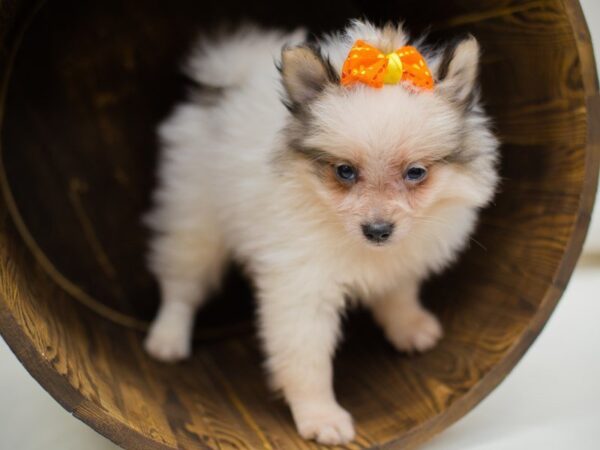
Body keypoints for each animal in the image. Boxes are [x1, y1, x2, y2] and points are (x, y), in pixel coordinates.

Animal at [143, 20, 500, 442]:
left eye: (416, 173)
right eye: (344, 171)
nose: (377, 230)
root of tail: (228, 81)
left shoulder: (399, 259)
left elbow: (399, 292)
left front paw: (410, 326)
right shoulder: (301, 291)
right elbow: (307, 361)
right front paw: (321, 416)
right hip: (196, 216)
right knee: (181, 284)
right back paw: (168, 338)